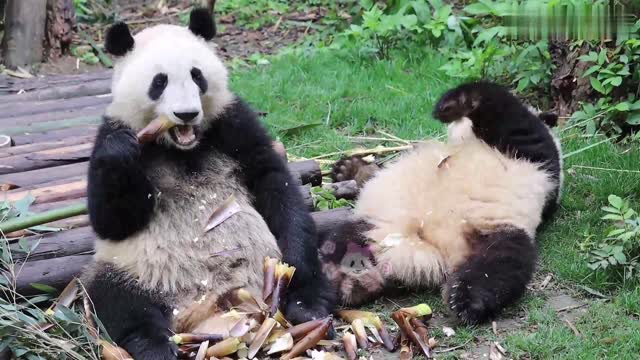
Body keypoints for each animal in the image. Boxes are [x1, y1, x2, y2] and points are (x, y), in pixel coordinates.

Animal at [83, 7, 336, 358]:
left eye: (197, 75)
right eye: (159, 82)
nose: (186, 114)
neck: (182, 147)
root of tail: (208, 308)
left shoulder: (232, 121)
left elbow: (273, 182)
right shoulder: (113, 131)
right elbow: (112, 221)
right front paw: (121, 152)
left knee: (308, 273)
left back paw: (307, 307)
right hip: (134, 269)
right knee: (115, 298)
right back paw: (153, 344)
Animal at [322, 81, 564, 324]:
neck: (468, 139)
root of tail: (426, 246)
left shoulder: (532, 151)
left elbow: (505, 112)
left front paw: (452, 105)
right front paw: (350, 169)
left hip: (497, 229)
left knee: (500, 265)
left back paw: (466, 300)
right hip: (373, 224)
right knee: (340, 239)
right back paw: (346, 280)